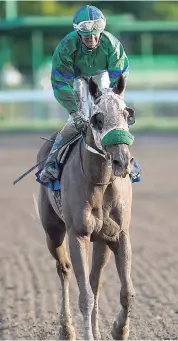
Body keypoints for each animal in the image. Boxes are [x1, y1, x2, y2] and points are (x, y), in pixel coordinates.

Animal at [36, 75, 136, 340]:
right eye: (97, 119)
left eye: (127, 114)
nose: (122, 160)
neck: (100, 182)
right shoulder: (78, 234)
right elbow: (85, 297)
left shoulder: (120, 234)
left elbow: (126, 292)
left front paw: (119, 330)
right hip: (52, 231)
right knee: (64, 270)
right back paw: (67, 329)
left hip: (101, 241)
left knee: (95, 280)